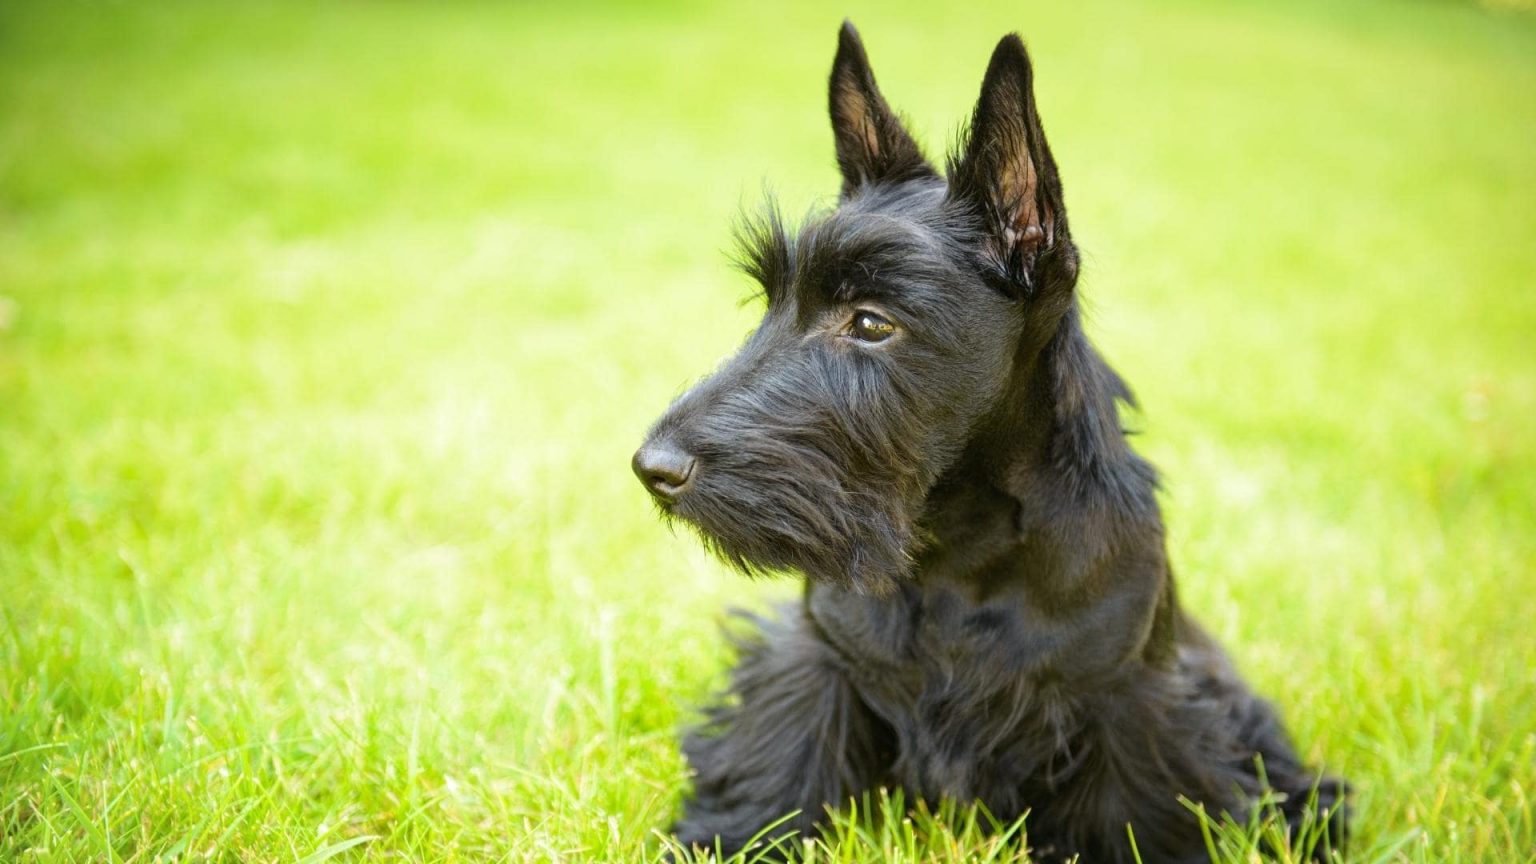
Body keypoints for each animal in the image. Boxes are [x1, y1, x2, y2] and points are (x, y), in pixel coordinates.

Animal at [632, 21, 1345, 860]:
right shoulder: (815, 663)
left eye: (870, 322)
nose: (652, 467)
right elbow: (779, 779)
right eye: (772, 301)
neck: (960, 551)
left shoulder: (1133, 705)